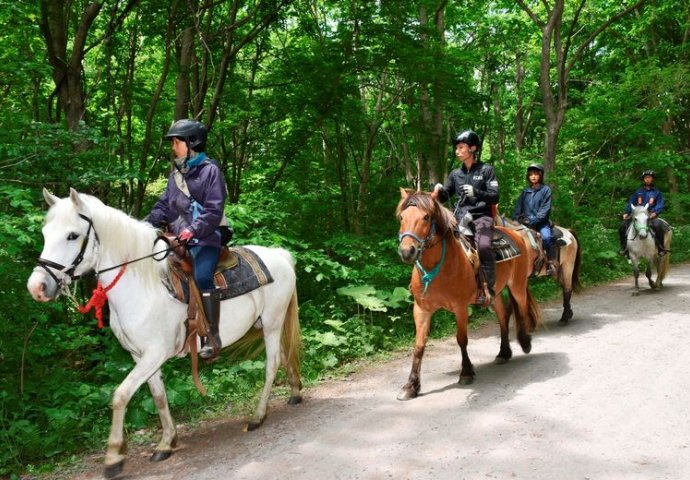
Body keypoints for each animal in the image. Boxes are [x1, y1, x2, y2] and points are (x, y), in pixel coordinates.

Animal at [26, 189, 300, 478]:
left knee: (272, 364)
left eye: (72, 235)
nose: (37, 287)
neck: (141, 285)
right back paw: (295, 392)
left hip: (271, 323)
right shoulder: (140, 356)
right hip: (266, 325)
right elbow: (158, 396)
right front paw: (167, 442)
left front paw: (113, 457)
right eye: (45, 233)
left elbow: (120, 395)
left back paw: (258, 416)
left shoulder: (155, 353)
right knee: (284, 353)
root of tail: (280, 254)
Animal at [396, 188, 540, 402]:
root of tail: (516, 234)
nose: (407, 251)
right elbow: (419, 346)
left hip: (518, 285)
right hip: (495, 293)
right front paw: (411, 386)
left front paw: (466, 372)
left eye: (426, 217)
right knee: (503, 316)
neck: (439, 267)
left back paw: (525, 342)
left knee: (521, 308)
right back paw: (504, 353)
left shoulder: (460, 308)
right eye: (402, 217)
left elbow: (461, 339)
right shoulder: (421, 309)